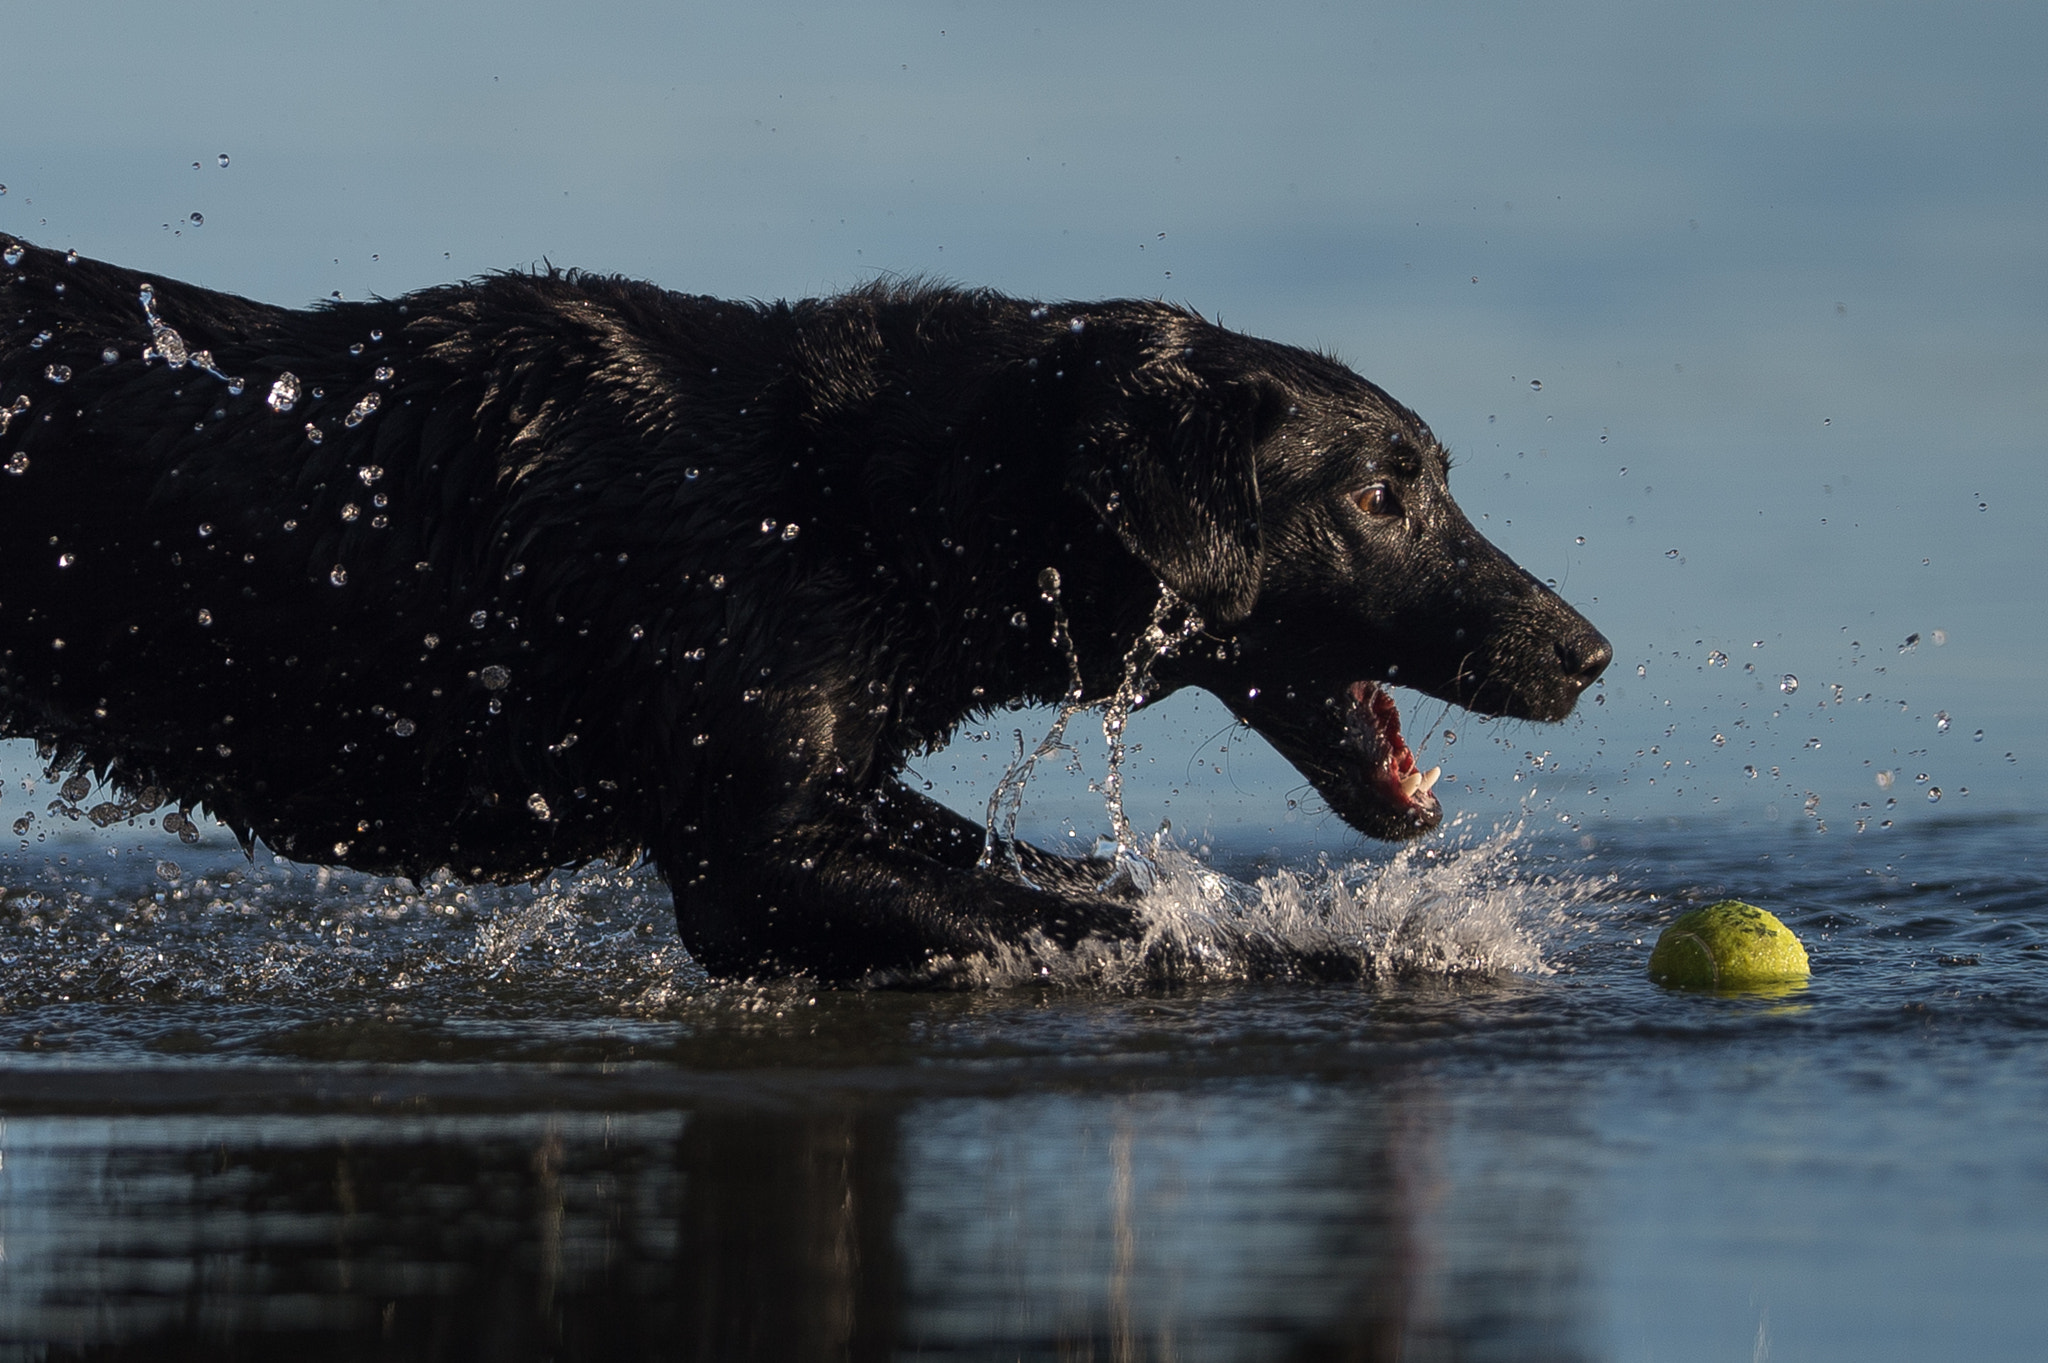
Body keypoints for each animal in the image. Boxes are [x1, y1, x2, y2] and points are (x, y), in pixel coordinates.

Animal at [0, 233, 1605, 978]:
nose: (1588, 652)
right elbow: (1068, 921)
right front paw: (1324, 951)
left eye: (1433, 474)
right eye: (1382, 492)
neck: (840, 496)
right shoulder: (757, 865)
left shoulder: (835, 784)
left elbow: (1071, 883)